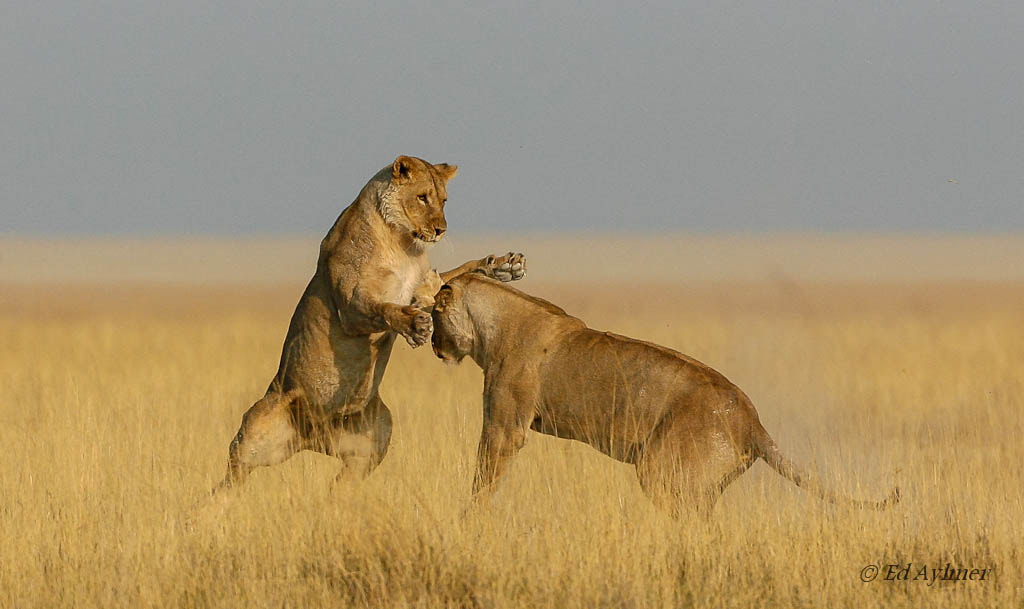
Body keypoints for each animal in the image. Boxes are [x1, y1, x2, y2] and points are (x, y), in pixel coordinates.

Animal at [214, 156, 525, 492]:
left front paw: (502, 266)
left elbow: (457, 273)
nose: (440, 230)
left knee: (341, 485)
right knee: (228, 480)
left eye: (443, 200)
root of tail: (311, 436)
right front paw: (413, 325)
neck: (402, 242)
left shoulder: (425, 287)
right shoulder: (351, 306)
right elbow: (384, 307)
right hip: (253, 437)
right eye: (422, 197)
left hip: (376, 437)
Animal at [430, 274, 899, 516]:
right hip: (699, 489)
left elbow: (483, 479)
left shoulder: (505, 426)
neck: (494, 321)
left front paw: (468, 519)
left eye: (433, 315)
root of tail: (752, 421)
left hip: (663, 471)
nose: (433, 344)